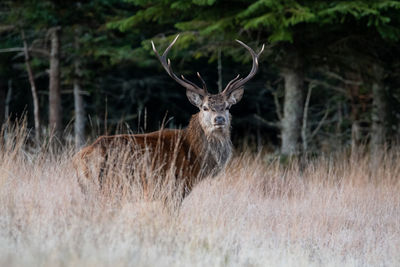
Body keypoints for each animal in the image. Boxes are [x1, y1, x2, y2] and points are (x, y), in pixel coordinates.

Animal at [73, 35, 264, 199]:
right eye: (205, 107)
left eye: (227, 107)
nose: (219, 119)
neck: (195, 157)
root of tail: (80, 158)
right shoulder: (173, 188)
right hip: (109, 186)